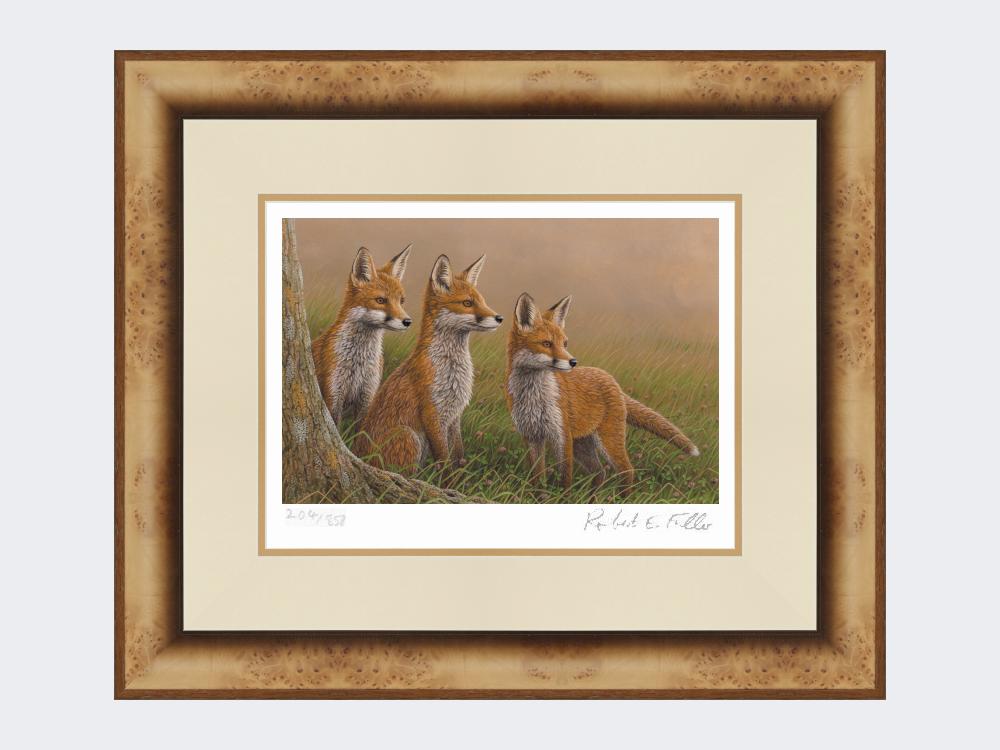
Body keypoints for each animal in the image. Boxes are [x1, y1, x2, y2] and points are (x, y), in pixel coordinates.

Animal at [311, 244, 412, 425]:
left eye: (401, 301)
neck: (359, 361)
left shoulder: (367, 396)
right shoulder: (333, 394)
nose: (407, 321)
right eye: (381, 300)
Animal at [356, 254, 503, 472]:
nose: (499, 318)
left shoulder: (454, 416)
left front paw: (460, 479)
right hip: (408, 436)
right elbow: (444, 462)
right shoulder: (432, 413)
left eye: (482, 301)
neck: (451, 369)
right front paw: (448, 481)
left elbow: (458, 456)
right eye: (467, 303)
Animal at [505, 292, 699, 493]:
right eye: (546, 343)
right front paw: (539, 496)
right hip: (582, 445)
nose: (573, 362)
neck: (533, 396)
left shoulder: (561, 436)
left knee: (626, 471)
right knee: (600, 472)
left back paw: (622, 497)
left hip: (608, 441)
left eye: (565, 343)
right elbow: (537, 479)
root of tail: (610, 379)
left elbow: (565, 479)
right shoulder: (531, 436)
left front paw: (563, 497)